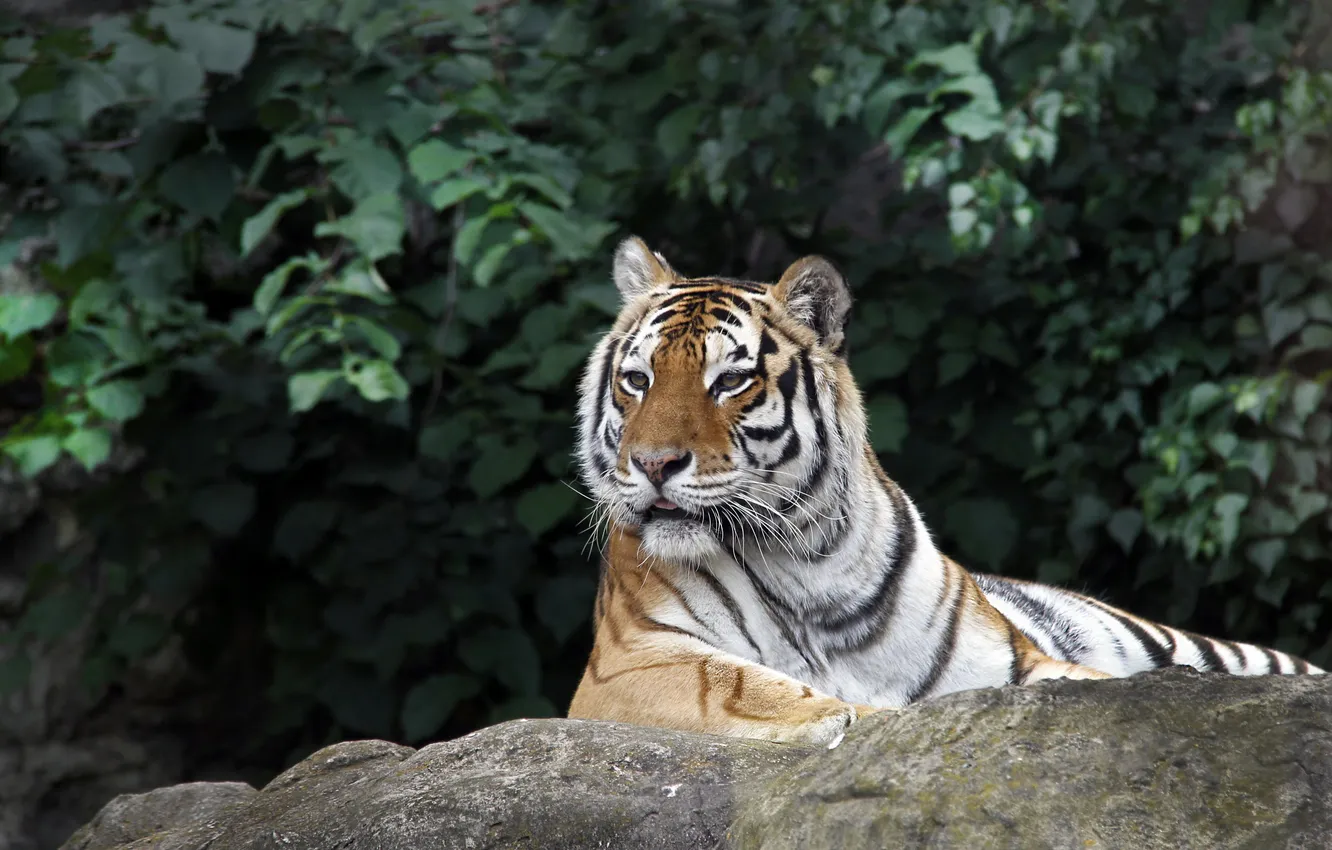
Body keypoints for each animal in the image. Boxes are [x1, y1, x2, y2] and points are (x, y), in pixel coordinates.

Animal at [566, 236, 1325, 746]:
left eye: (729, 381)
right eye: (637, 380)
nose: (654, 464)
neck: (806, 559)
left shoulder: (1010, 664)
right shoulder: (627, 663)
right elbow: (744, 685)